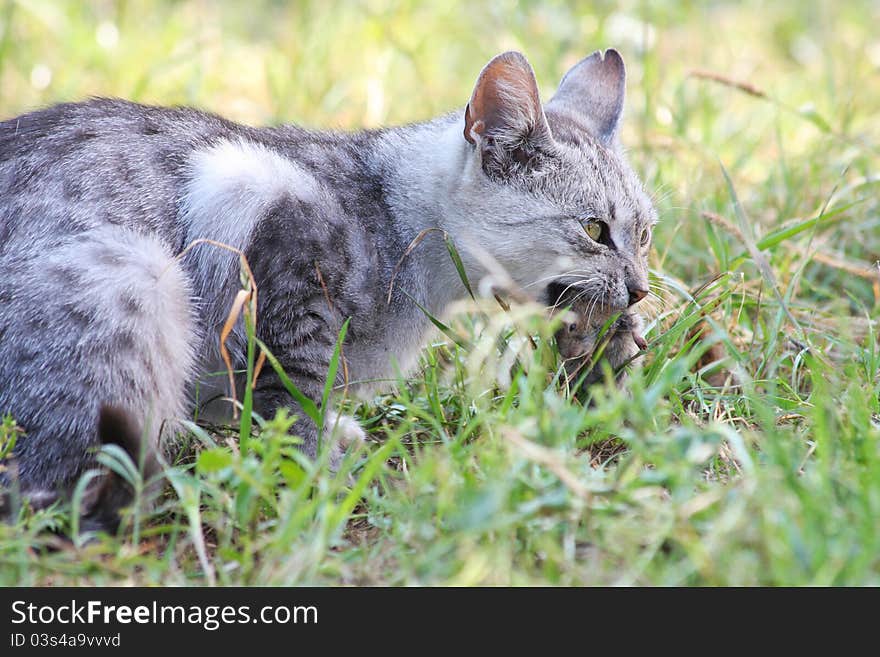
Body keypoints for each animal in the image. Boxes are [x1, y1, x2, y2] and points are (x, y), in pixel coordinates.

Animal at [0, 48, 656, 532]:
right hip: (132, 274)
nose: (640, 290)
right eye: (595, 230)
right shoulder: (255, 205)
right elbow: (293, 386)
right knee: (45, 488)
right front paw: (323, 456)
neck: (390, 212)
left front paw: (609, 355)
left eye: (646, 234)